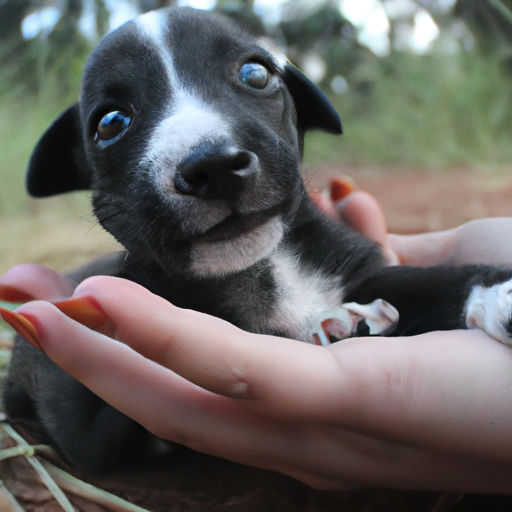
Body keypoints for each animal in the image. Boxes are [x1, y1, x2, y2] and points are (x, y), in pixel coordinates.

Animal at [6, 6, 512, 474]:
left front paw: (498, 295)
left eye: (255, 73)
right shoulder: (78, 412)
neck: (263, 267)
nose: (213, 165)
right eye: (111, 122)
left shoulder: (361, 272)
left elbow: (437, 282)